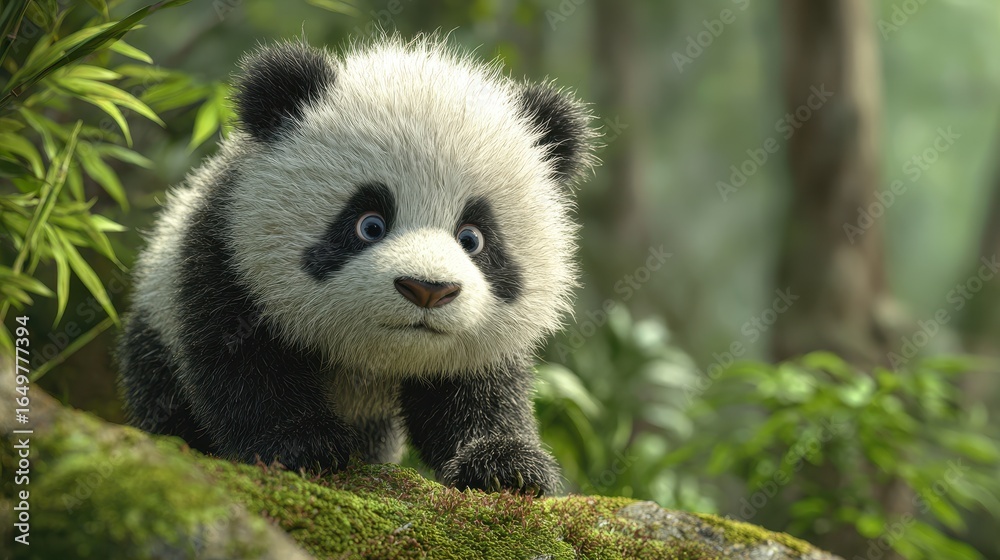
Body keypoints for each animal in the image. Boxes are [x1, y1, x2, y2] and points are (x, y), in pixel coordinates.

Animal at [117, 36, 596, 496]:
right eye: (370, 224)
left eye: (472, 238)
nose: (427, 289)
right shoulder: (228, 253)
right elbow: (240, 361)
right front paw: (301, 443)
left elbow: (476, 390)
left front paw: (504, 467)